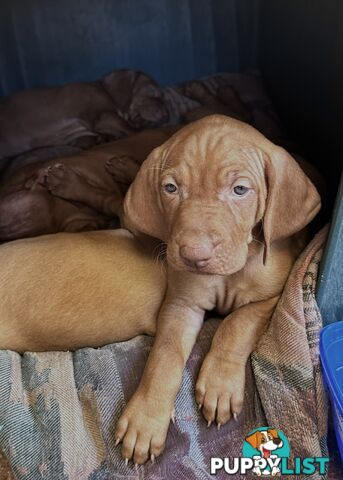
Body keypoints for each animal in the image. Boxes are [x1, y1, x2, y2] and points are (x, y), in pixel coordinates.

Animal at [117, 114, 324, 464]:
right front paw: (145, 418)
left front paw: (219, 384)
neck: (228, 274)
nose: (193, 255)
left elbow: (236, 325)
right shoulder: (182, 303)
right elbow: (164, 355)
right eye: (171, 188)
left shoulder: (271, 297)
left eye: (240, 190)